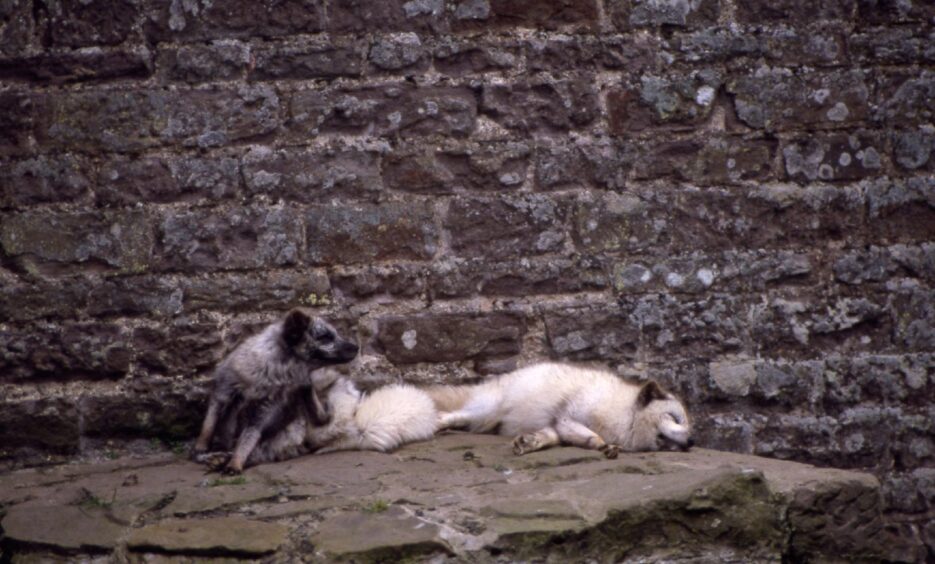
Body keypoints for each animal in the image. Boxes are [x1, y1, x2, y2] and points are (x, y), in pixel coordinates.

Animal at [192, 309, 359, 474]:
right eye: (325, 337)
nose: (357, 347)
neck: (270, 372)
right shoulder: (222, 394)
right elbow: (208, 425)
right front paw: (201, 449)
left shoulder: (261, 414)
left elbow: (247, 440)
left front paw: (235, 463)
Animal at [428, 363, 693, 458]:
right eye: (675, 417)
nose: (692, 441)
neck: (624, 413)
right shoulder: (567, 417)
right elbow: (591, 435)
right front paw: (602, 445)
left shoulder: (558, 426)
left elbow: (560, 436)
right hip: (488, 411)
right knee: (454, 415)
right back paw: (438, 423)